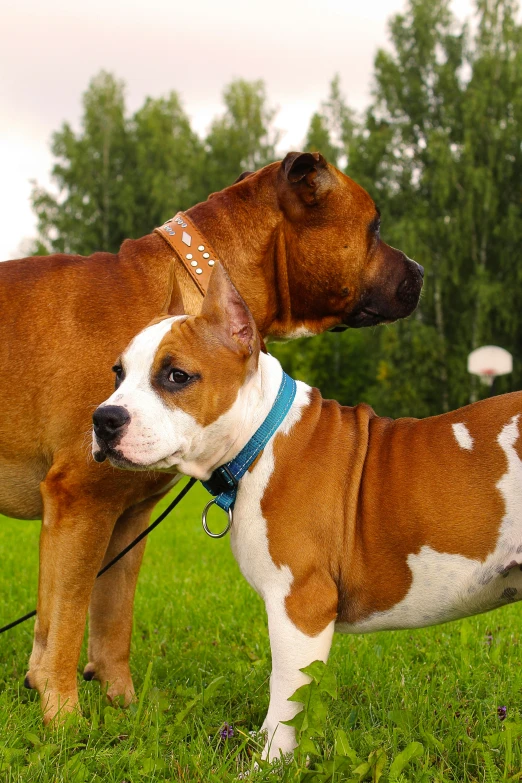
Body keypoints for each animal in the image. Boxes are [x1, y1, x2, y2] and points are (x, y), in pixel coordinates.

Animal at [0, 149, 420, 724]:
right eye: (375, 225)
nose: (421, 272)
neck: (191, 282)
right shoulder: (80, 503)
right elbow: (63, 624)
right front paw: (63, 715)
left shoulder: (125, 519)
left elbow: (107, 620)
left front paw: (122, 704)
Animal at [92, 266, 520, 764]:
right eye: (118, 373)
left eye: (177, 375)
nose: (104, 419)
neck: (260, 438)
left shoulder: (300, 605)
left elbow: (286, 698)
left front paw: (269, 763)